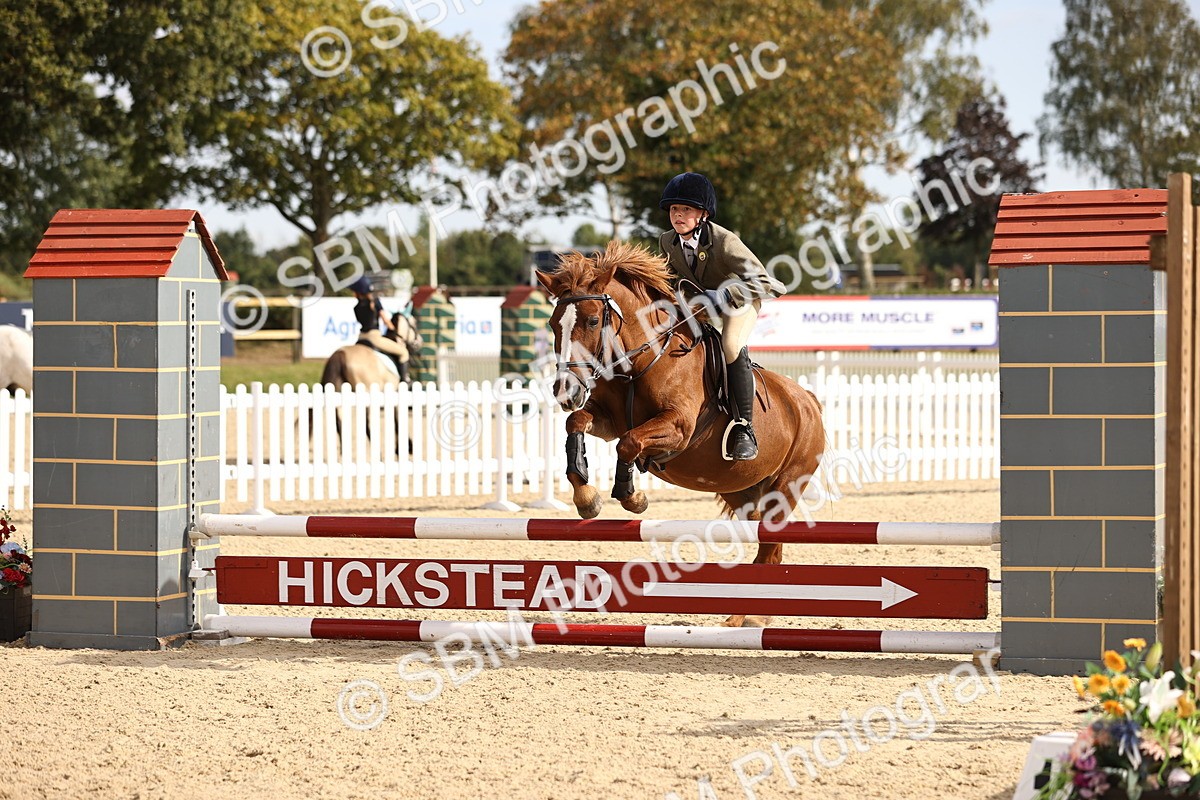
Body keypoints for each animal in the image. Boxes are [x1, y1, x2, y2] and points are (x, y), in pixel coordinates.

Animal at [536, 241, 826, 628]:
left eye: (593, 320)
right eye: (554, 323)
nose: (564, 391)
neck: (643, 359)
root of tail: (807, 401)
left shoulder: (678, 428)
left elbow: (629, 443)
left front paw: (631, 497)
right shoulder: (608, 421)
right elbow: (577, 424)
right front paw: (586, 496)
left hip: (787, 486)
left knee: (769, 549)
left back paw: (748, 619)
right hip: (744, 492)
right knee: (767, 545)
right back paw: (745, 617)